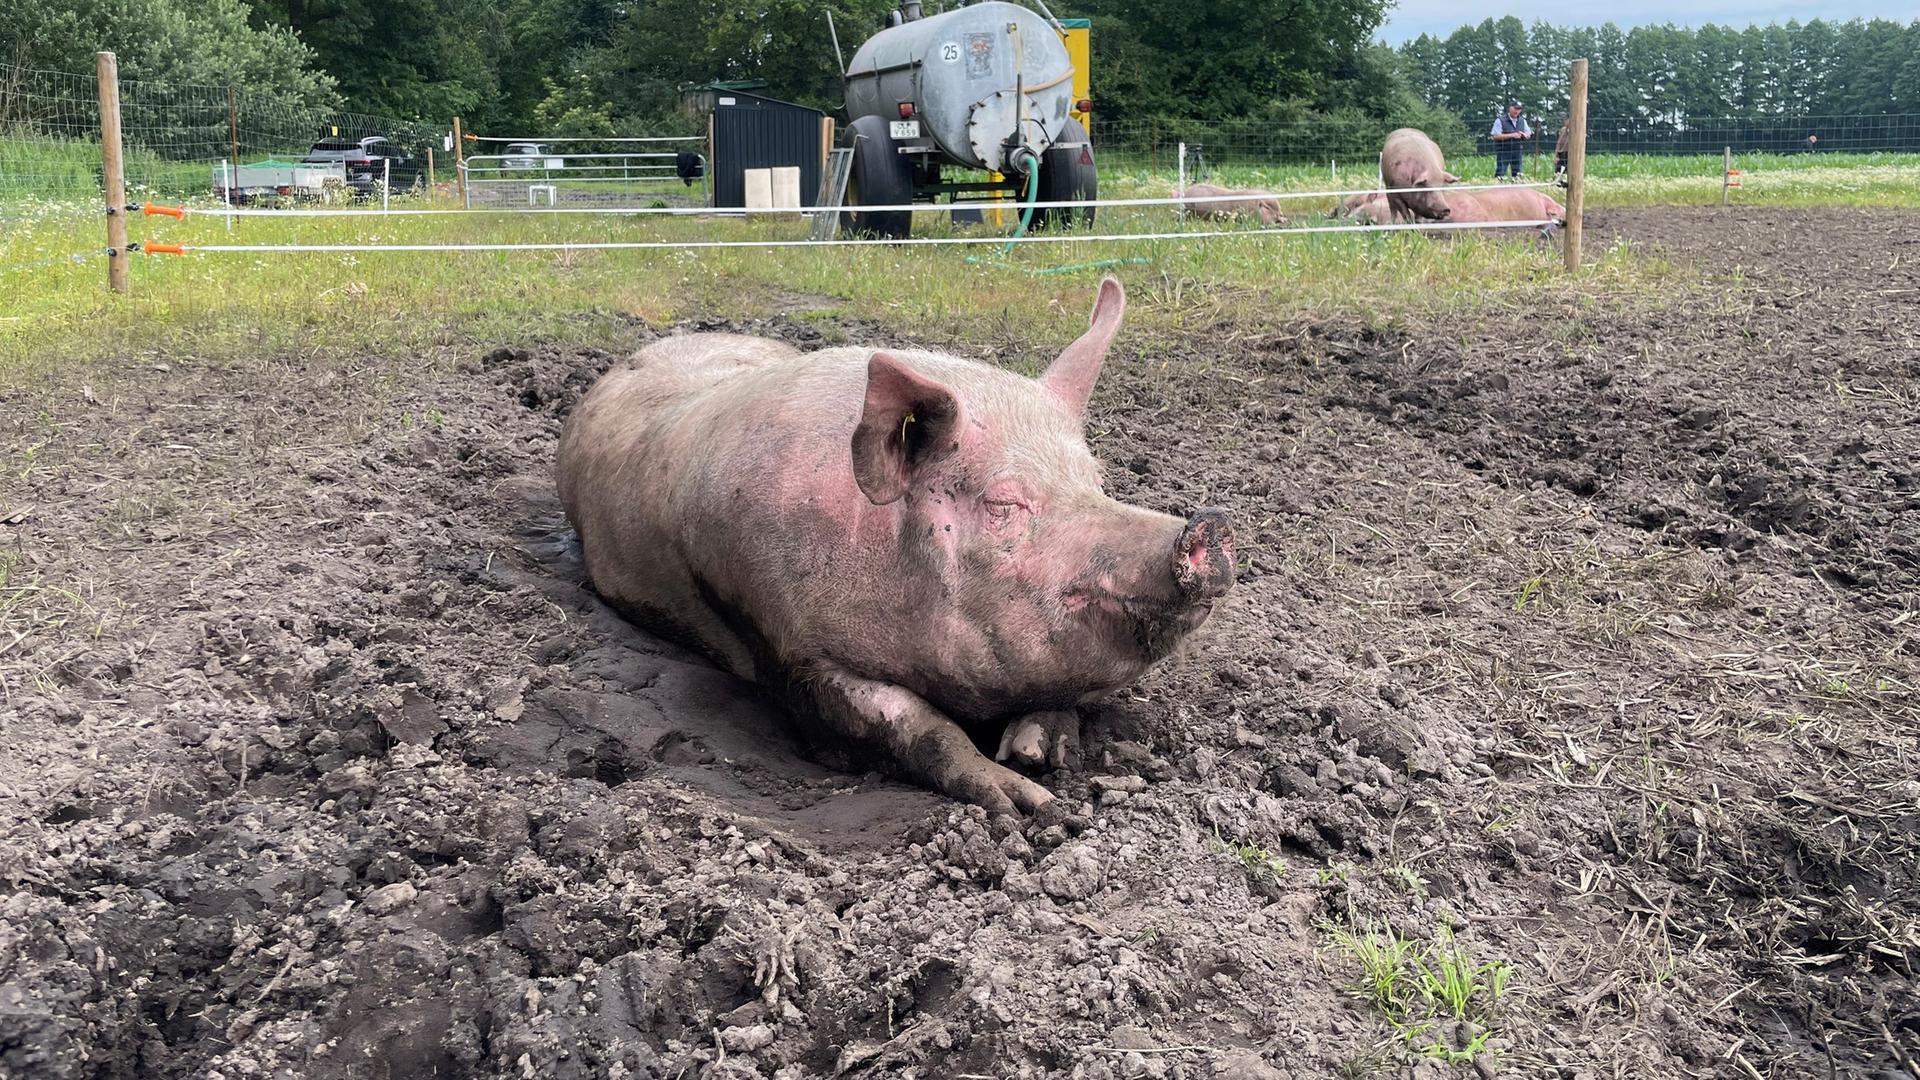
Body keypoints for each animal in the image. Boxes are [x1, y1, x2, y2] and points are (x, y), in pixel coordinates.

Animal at [555, 278, 1236, 814]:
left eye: (1095, 481)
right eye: (1004, 505)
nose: (1209, 525)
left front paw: (1039, 752)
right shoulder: (789, 649)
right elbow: (910, 722)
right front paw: (1024, 799)